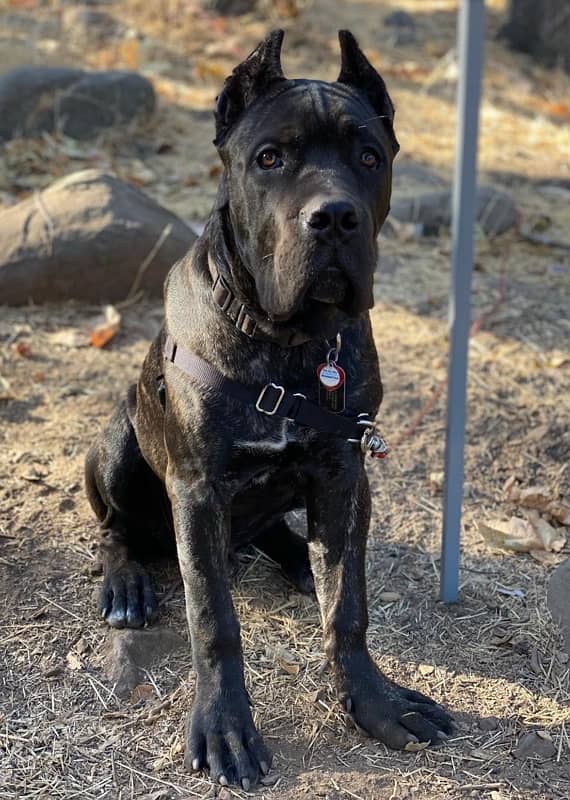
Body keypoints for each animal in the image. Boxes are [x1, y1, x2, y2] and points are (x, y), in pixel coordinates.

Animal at [84, 29, 450, 788]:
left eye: (369, 156)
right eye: (270, 158)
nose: (334, 216)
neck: (288, 342)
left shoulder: (345, 474)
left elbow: (349, 607)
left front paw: (372, 701)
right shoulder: (196, 489)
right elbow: (215, 620)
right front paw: (226, 727)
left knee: (279, 534)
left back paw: (299, 562)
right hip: (118, 442)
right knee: (115, 529)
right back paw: (128, 583)